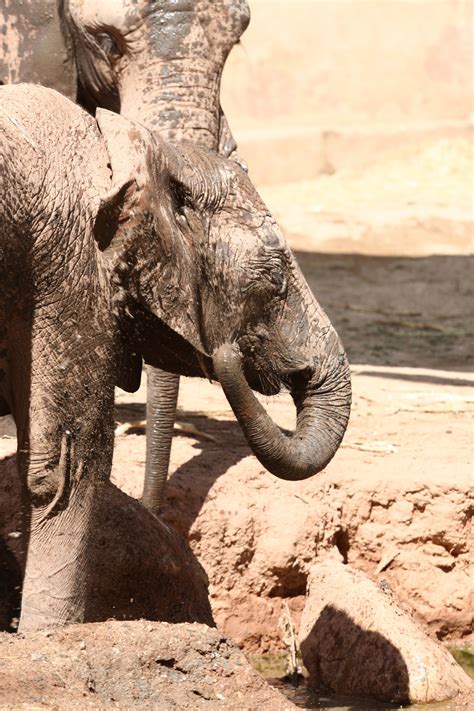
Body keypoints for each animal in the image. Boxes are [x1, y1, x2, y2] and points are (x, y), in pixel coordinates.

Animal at [0, 85, 352, 636]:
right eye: (275, 278)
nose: (229, 351)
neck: (139, 150)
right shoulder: (70, 264)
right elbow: (66, 470)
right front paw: (51, 636)